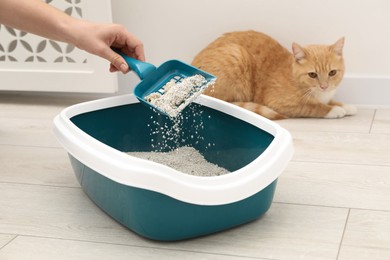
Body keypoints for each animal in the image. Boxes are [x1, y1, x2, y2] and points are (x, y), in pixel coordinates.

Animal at [192, 30, 356, 120]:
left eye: (332, 72)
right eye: (312, 75)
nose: (324, 86)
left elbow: (331, 101)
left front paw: (346, 106)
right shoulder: (280, 103)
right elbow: (313, 107)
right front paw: (334, 110)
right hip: (235, 54)